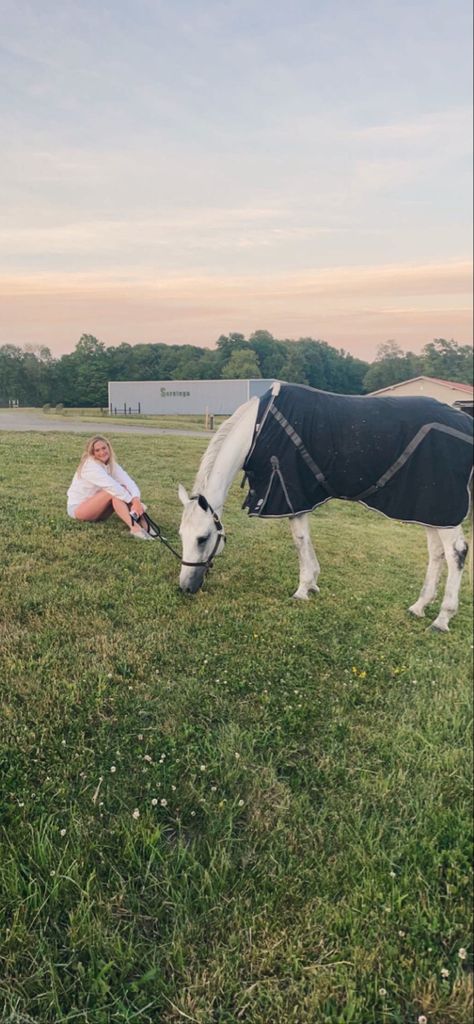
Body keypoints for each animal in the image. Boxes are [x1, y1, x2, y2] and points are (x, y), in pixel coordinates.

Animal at [178, 391, 470, 630]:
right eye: (181, 535)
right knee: (436, 553)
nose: (185, 587)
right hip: (430, 510)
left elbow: (299, 540)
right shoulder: (300, 499)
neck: (258, 429)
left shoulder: (292, 497)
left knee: (456, 552)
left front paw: (302, 589)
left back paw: (442, 618)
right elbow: (305, 540)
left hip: (444, 509)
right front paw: (313, 584)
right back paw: (419, 607)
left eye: (203, 538)